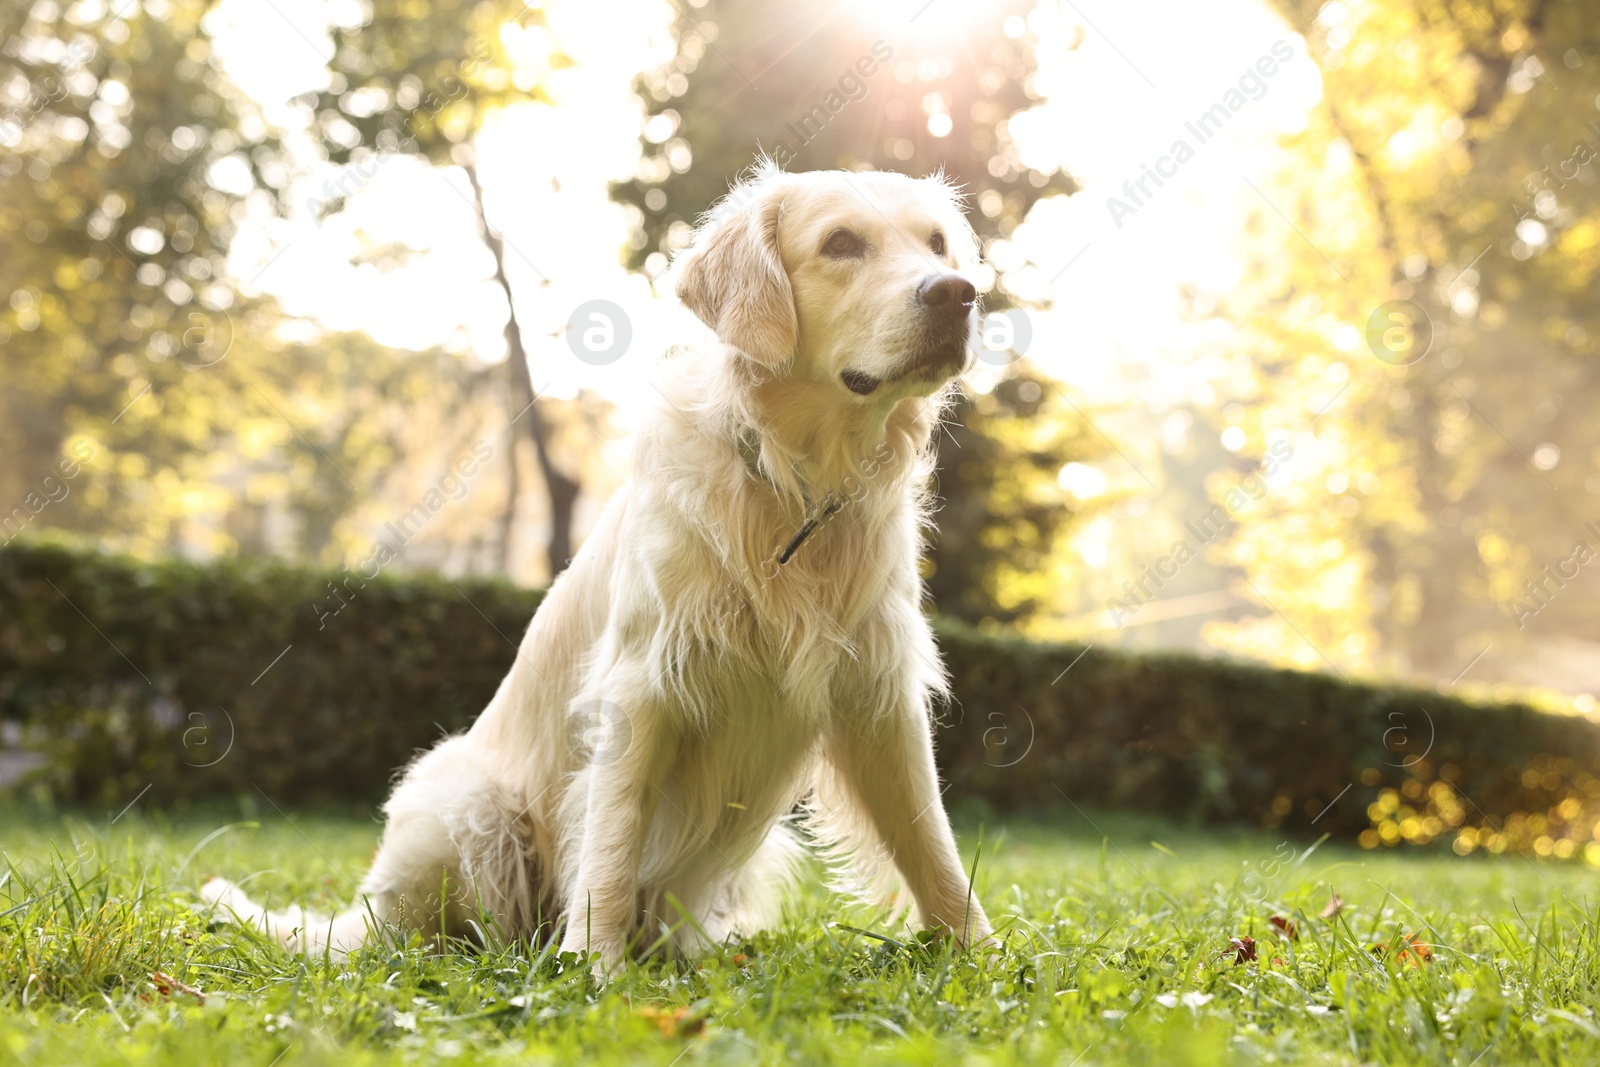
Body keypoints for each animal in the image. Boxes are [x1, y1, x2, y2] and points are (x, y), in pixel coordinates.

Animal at [203, 164, 985, 966]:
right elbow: (612, 840)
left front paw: (984, 955)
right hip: (467, 801)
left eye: (935, 242)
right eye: (840, 243)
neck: (792, 484)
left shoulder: (879, 693)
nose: (958, 293)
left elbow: (933, 845)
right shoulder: (644, 687)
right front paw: (593, 966)